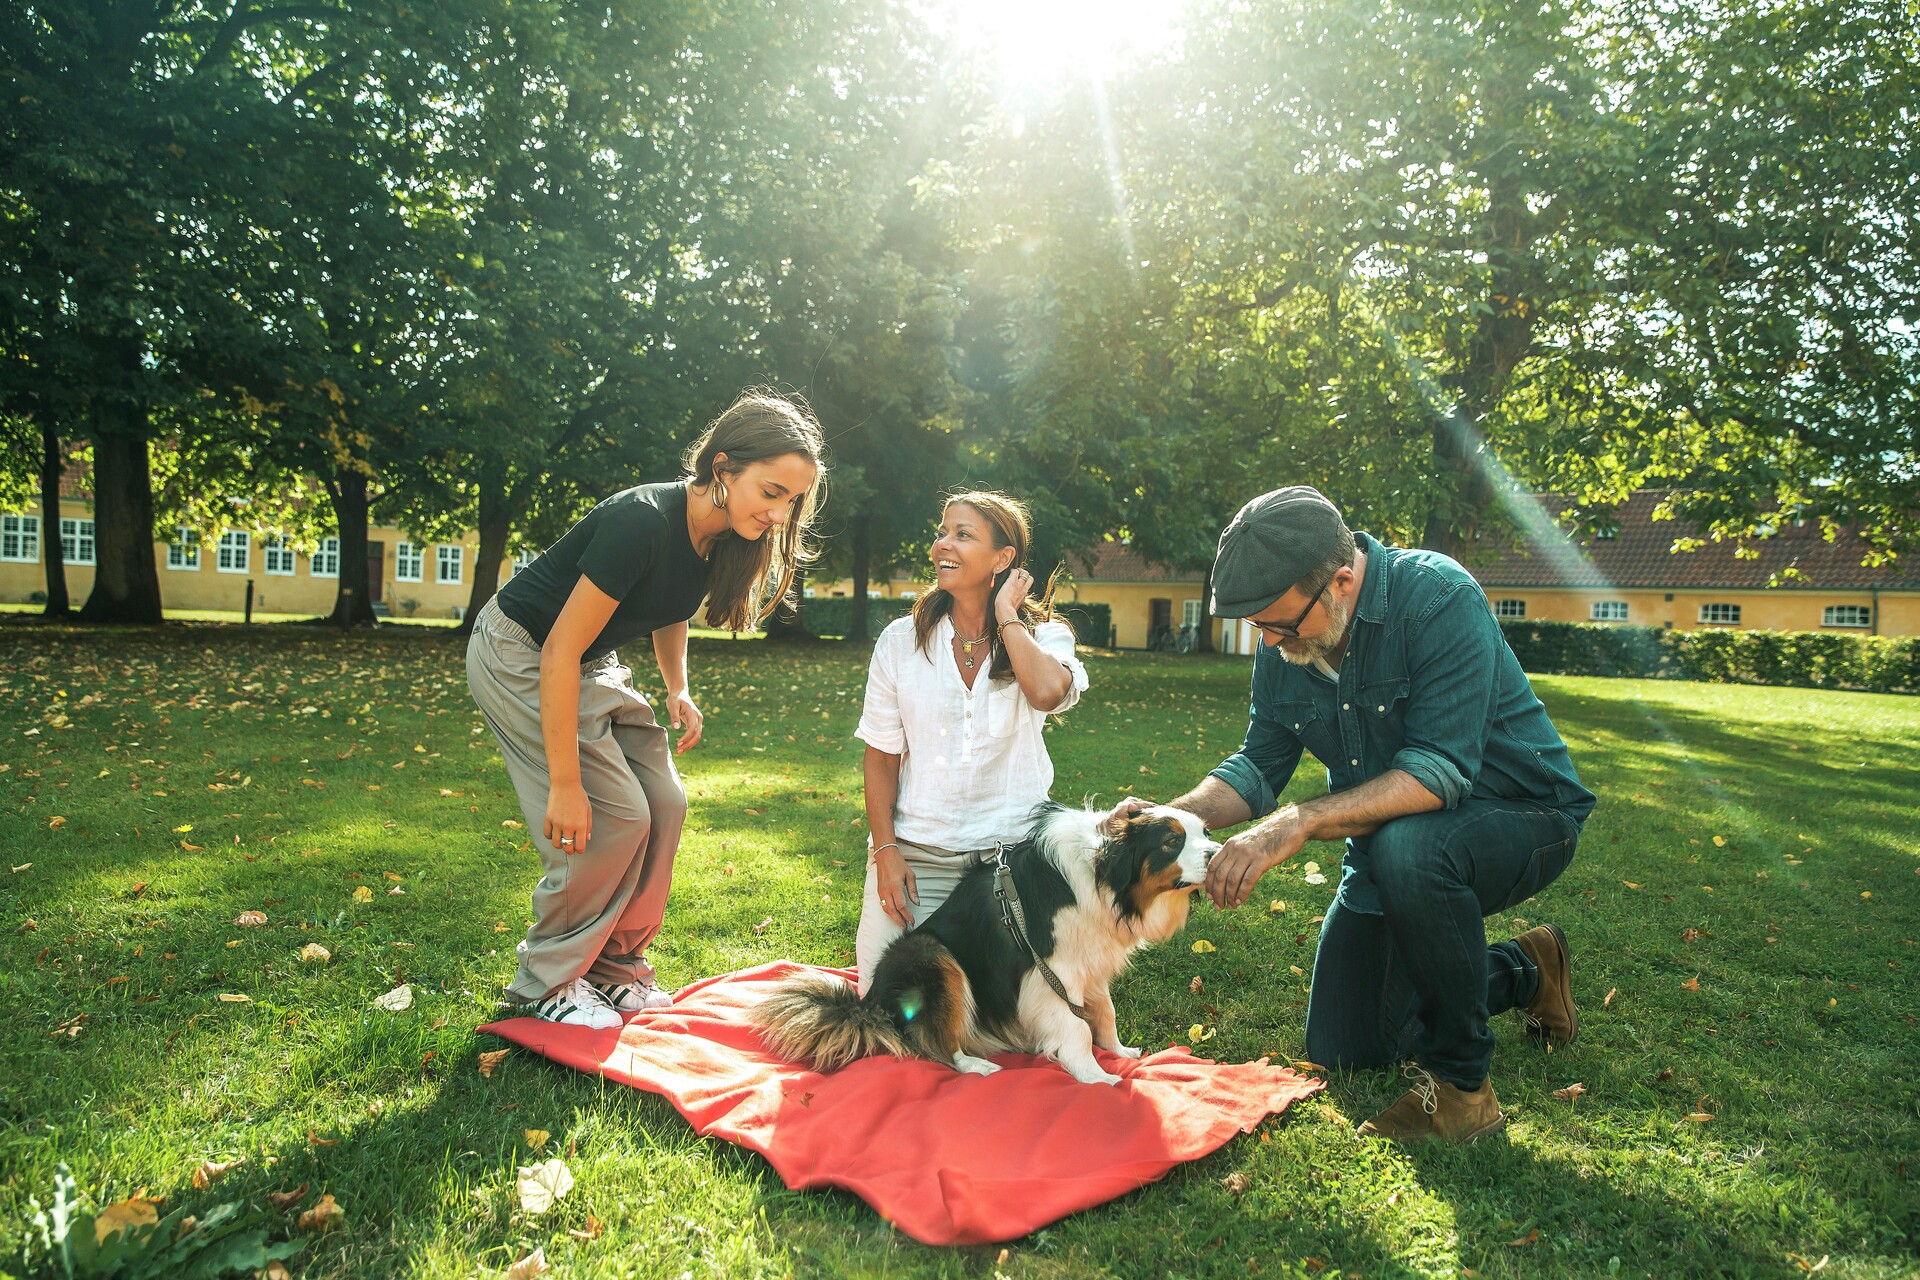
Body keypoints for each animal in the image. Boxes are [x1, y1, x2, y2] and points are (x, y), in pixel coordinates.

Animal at [748, 805, 1213, 1090]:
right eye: (1171, 841)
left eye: (1205, 831)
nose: (1217, 852)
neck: (1100, 874)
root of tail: (870, 1001)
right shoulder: (1050, 971)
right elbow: (1076, 1027)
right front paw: (1096, 1076)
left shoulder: (1089, 959)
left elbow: (1104, 1012)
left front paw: (1118, 1052)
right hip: (932, 955)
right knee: (936, 1040)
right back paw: (976, 1065)